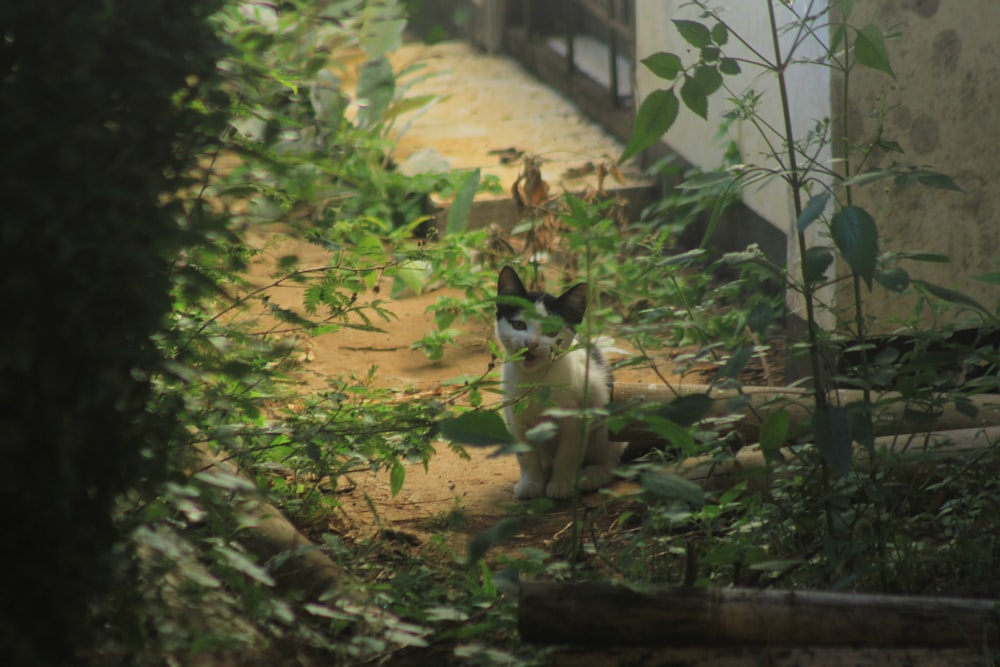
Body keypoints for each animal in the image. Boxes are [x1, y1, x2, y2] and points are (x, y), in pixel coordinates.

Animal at [494, 264, 620, 498]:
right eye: (518, 325)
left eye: (551, 331)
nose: (531, 343)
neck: (535, 380)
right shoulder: (515, 418)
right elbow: (526, 455)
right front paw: (531, 482)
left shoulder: (575, 417)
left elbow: (568, 454)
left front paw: (561, 483)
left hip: (605, 419)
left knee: (612, 460)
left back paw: (592, 475)